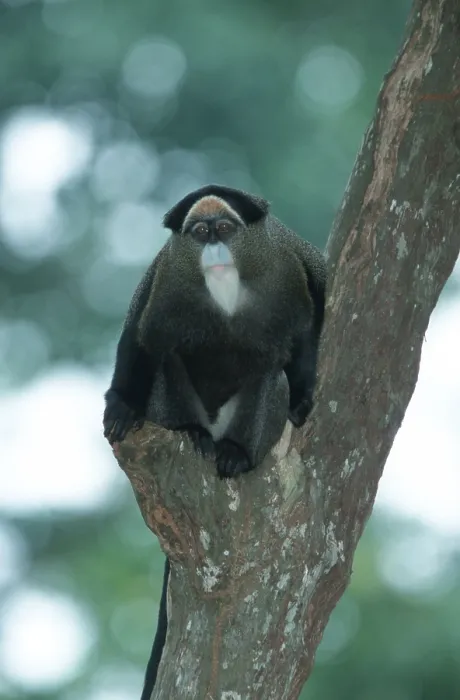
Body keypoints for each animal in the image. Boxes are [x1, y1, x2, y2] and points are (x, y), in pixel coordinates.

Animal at [102, 184, 327, 698]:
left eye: (225, 229)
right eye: (200, 233)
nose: (214, 249)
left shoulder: (288, 263)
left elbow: (308, 324)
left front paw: (303, 398)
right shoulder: (166, 277)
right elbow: (139, 339)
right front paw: (121, 406)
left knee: (270, 374)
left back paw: (234, 454)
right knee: (166, 362)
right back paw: (195, 437)